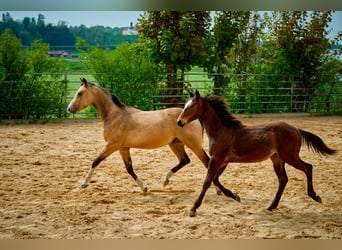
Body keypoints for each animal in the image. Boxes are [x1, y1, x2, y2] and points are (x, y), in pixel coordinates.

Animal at [176, 90, 336, 217]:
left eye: (192, 106)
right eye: (184, 106)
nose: (179, 122)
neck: (222, 131)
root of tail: (296, 129)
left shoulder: (217, 158)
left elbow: (207, 181)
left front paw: (193, 208)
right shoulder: (223, 161)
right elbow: (215, 179)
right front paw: (235, 196)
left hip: (289, 156)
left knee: (308, 167)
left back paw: (315, 196)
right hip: (277, 159)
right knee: (283, 179)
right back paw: (271, 206)